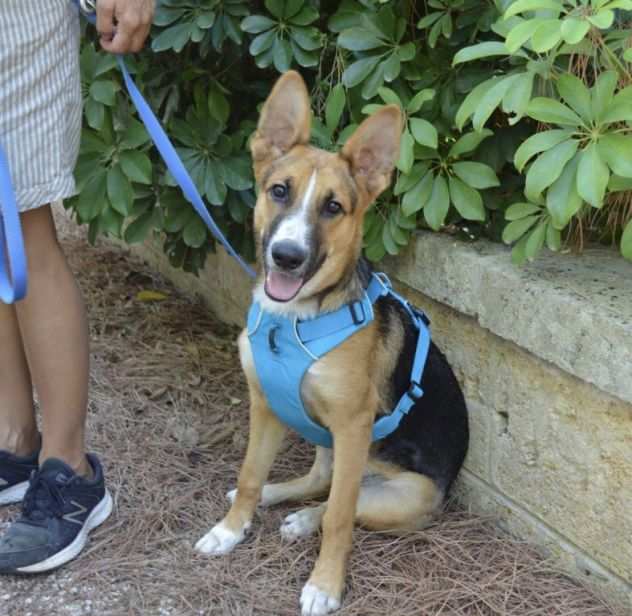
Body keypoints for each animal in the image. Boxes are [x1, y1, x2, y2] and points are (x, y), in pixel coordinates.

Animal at [196, 73, 470, 616]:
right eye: (279, 191)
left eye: (333, 207)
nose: (287, 256)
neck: (293, 322)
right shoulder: (265, 405)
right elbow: (249, 474)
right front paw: (231, 530)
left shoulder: (352, 426)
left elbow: (340, 519)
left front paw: (325, 584)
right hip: (325, 441)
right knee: (321, 482)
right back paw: (280, 498)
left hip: (401, 492)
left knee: (343, 503)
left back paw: (305, 520)